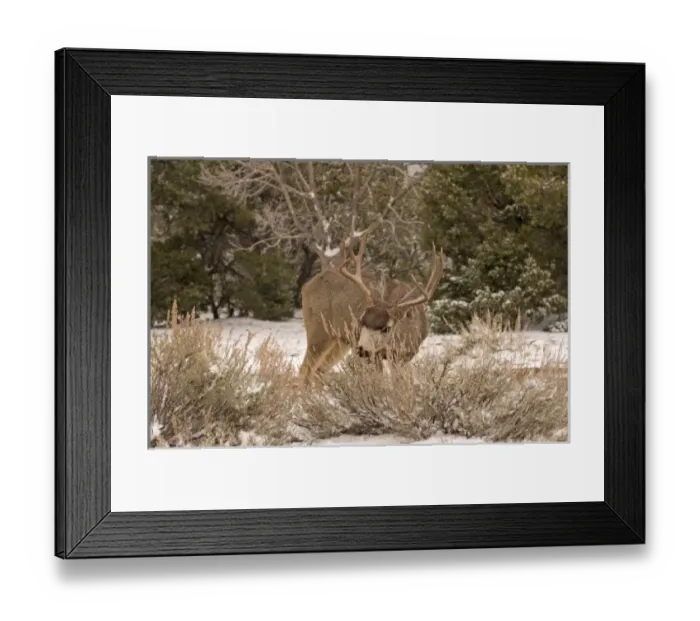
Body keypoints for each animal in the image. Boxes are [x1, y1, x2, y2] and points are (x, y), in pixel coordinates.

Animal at [298, 224, 444, 383]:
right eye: (361, 321)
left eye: (386, 328)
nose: (362, 350)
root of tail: (307, 286)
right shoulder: (377, 355)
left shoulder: (402, 356)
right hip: (318, 329)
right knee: (305, 369)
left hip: (340, 342)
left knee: (319, 371)